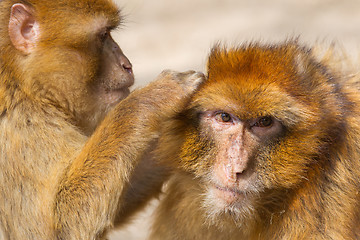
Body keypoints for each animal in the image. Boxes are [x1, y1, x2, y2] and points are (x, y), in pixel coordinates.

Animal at [0, 0, 204, 240]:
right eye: (104, 35)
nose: (127, 65)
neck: (22, 82)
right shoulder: (19, 125)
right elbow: (58, 227)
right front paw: (153, 97)